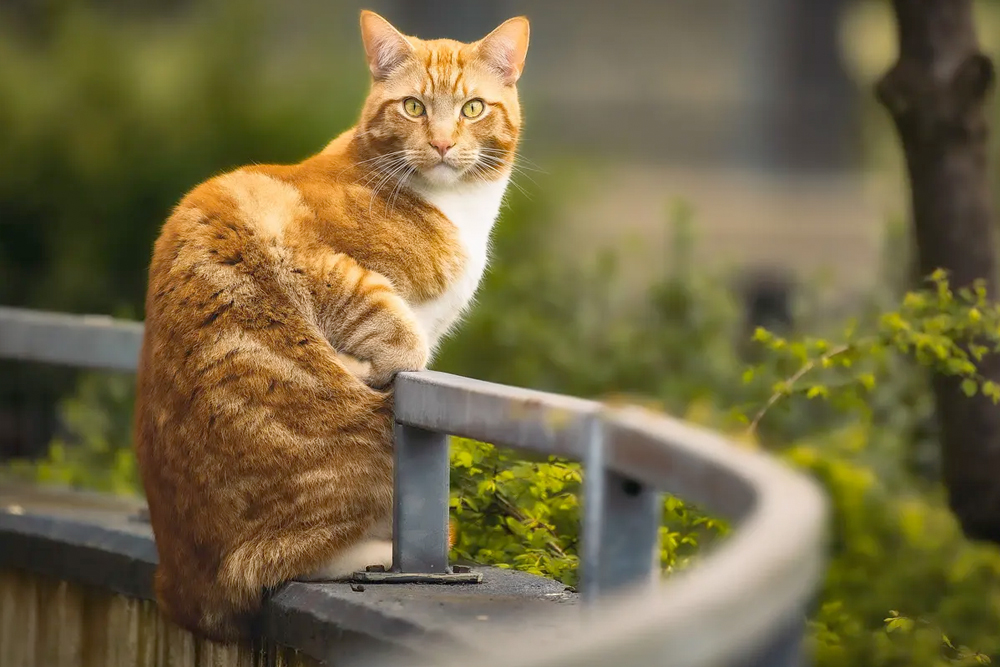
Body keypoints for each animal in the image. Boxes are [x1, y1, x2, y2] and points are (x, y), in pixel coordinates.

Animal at [133, 10, 532, 644]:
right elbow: (389, 322)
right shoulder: (307, 253)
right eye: (413, 107)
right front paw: (383, 358)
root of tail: (179, 589)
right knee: (270, 564)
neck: (454, 210)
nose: (443, 143)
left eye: (472, 108)